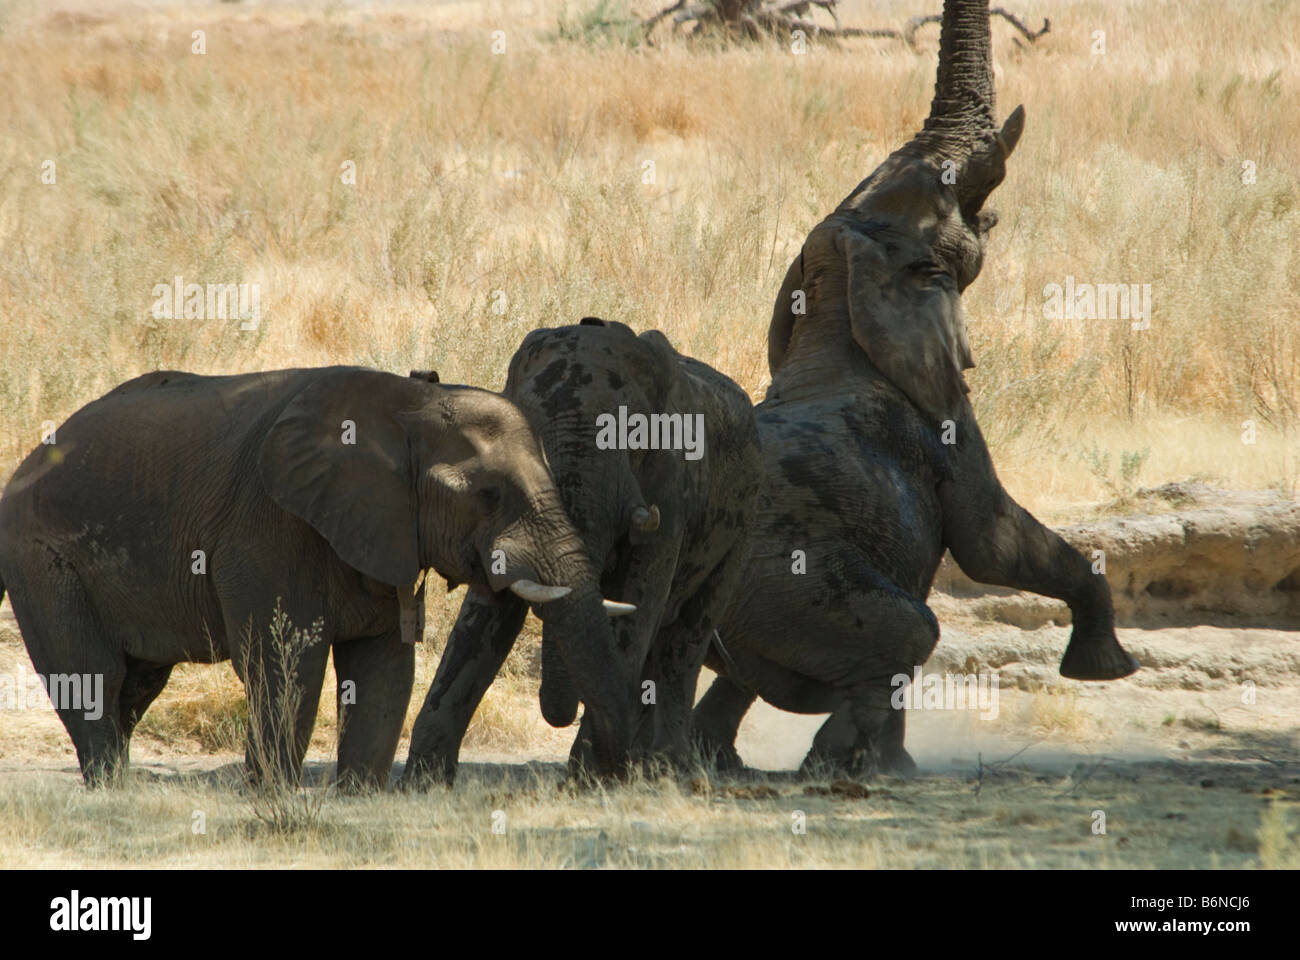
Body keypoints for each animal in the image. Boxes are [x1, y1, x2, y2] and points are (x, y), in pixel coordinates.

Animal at [0, 366, 634, 785]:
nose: (609, 772)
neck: (411, 403)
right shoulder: (268, 526)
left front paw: (360, 795)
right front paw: (269, 792)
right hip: (39, 558)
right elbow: (288, 660)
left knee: (137, 684)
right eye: (487, 494)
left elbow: (384, 667)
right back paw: (112, 788)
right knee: (93, 674)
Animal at [400, 317, 759, 780]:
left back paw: (667, 767)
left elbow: (635, 609)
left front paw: (591, 777)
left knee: (686, 636)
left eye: (634, 437)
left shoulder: (671, 487)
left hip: (745, 517)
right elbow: (486, 617)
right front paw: (422, 781)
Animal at [691, 0, 1138, 780]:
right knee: (909, 630)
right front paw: (1107, 669)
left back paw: (720, 762)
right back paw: (847, 766)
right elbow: (991, 541)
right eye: (956, 194)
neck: (841, 284)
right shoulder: (944, 419)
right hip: (785, 585)